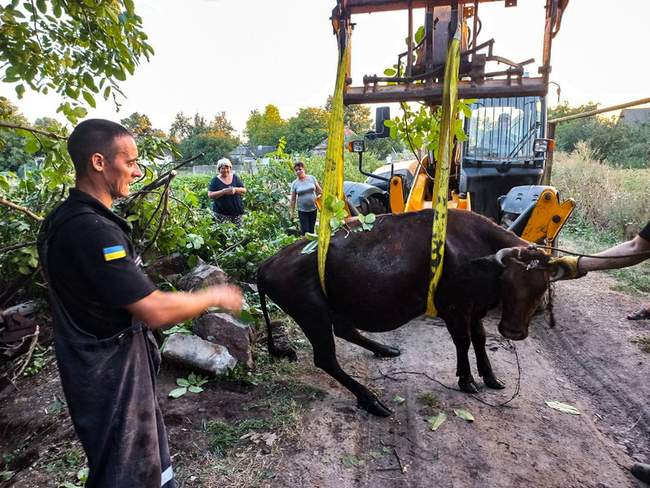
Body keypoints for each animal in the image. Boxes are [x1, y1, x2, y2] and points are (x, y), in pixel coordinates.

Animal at [256, 208, 556, 418]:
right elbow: (463, 341)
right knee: (326, 359)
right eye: (508, 281)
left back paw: (383, 349)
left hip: (334, 307)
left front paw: (490, 377)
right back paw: (371, 400)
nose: (513, 331)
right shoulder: (455, 308)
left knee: (344, 331)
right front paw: (467, 379)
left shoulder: (475, 309)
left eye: (542, 286)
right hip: (312, 313)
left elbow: (480, 339)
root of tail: (268, 262)